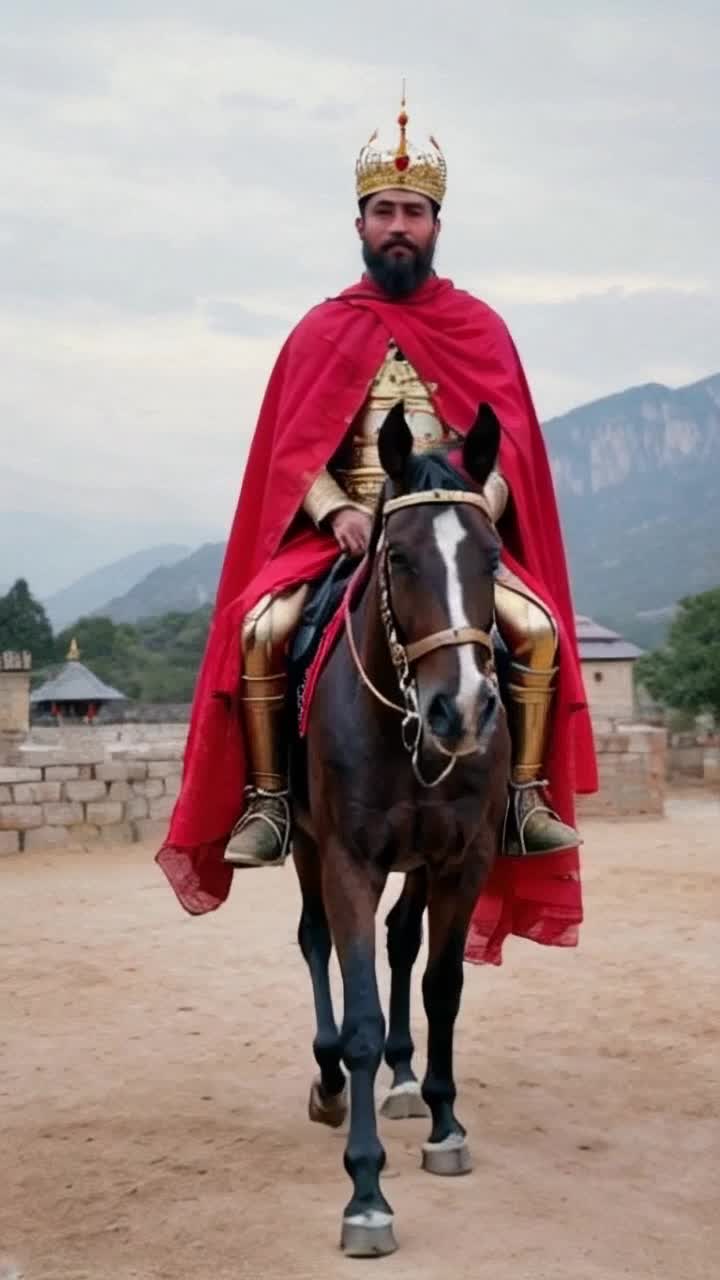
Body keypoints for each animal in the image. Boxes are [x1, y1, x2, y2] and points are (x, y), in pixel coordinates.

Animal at [288, 401, 507, 1259]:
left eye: (491, 557)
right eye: (402, 558)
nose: (464, 710)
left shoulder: (463, 858)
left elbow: (443, 986)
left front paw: (446, 1123)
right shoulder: (348, 858)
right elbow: (358, 1020)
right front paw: (367, 1195)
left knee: (403, 942)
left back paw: (408, 1080)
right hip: (309, 847)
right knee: (314, 939)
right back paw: (328, 1083)